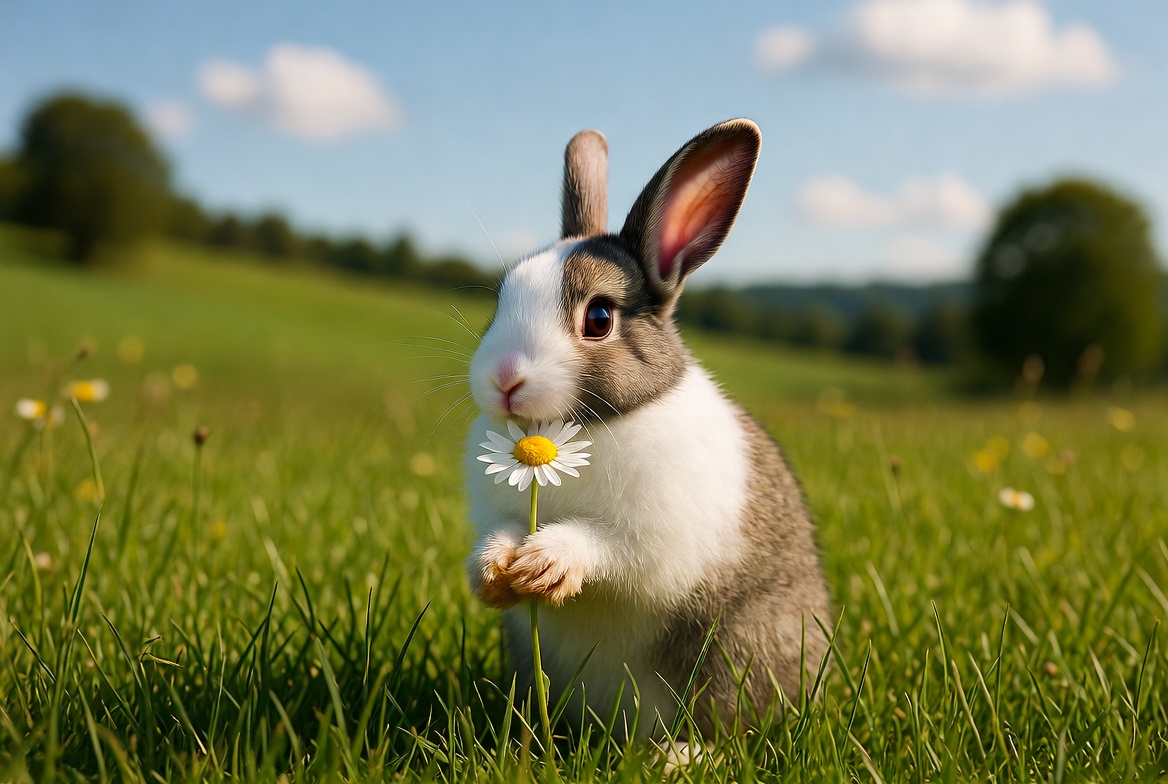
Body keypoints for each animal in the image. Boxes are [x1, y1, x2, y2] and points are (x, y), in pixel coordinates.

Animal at [464, 119, 831, 738]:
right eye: (503, 296)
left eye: (599, 318)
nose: (504, 379)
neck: (588, 429)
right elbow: (502, 533)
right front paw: (494, 572)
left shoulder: (652, 542)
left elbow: (605, 547)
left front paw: (547, 565)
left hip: (735, 652)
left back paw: (678, 752)